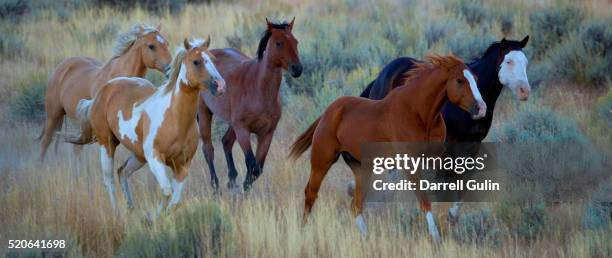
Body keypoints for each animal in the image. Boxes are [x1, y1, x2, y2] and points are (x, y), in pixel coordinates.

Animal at [38, 24, 172, 161]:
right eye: (151, 46)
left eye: (166, 43)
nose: (170, 69)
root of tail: (61, 66)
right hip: (53, 115)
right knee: (46, 143)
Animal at [65, 38, 227, 212]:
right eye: (196, 61)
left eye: (214, 59)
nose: (220, 85)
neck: (175, 119)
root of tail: (102, 92)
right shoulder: (155, 157)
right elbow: (166, 191)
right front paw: (154, 215)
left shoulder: (182, 165)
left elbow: (174, 201)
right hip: (107, 144)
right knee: (109, 180)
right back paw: (117, 212)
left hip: (138, 155)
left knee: (122, 172)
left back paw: (130, 207)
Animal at [198, 17, 304, 191]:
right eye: (279, 43)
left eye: (296, 42)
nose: (297, 69)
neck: (258, 89)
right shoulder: (243, 130)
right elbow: (251, 162)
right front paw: (244, 189)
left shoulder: (266, 134)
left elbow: (257, 168)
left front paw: (244, 187)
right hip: (204, 113)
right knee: (208, 149)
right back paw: (216, 186)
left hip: (232, 123)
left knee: (226, 142)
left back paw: (231, 180)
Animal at [290, 55, 486, 242]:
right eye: (459, 80)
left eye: (476, 79)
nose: (481, 108)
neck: (420, 113)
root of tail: (328, 112)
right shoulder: (410, 162)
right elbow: (424, 198)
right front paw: (435, 236)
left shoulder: (434, 158)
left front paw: (451, 216)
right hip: (322, 161)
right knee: (311, 193)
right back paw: (303, 231)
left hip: (362, 168)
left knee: (356, 205)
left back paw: (366, 237)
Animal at [358, 35, 532, 222]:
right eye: (508, 61)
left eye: (525, 62)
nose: (524, 91)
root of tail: (381, 76)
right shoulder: (445, 145)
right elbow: (441, 182)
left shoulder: (472, 144)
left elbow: (465, 181)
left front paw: (452, 215)